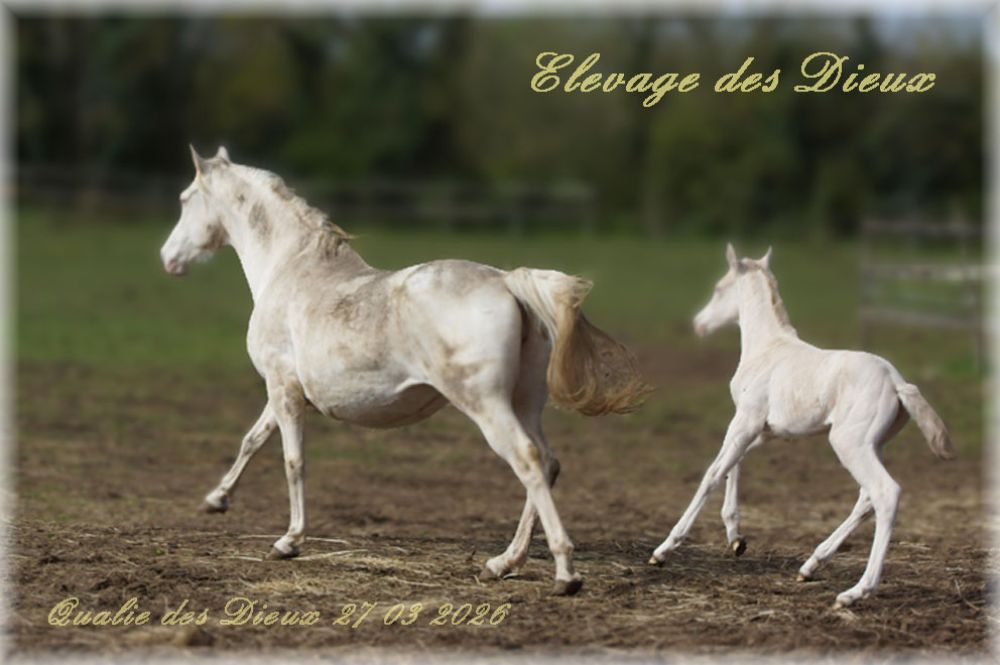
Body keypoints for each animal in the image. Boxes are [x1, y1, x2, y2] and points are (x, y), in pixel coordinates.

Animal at [159, 146, 650, 595]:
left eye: (185, 199)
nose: (167, 258)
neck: (292, 270)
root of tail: (507, 281)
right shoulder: (288, 393)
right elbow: (252, 441)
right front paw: (216, 500)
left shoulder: (282, 388)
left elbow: (292, 461)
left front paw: (288, 541)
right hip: (525, 403)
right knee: (548, 463)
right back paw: (502, 563)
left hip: (486, 405)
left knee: (528, 462)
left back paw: (565, 574)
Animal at [648, 244, 954, 608]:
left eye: (719, 289)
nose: (699, 325)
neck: (768, 347)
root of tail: (897, 382)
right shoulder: (765, 430)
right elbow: (734, 466)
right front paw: (736, 538)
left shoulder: (746, 420)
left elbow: (712, 474)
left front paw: (664, 549)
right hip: (873, 445)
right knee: (866, 499)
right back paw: (811, 565)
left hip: (849, 444)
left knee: (885, 493)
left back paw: (855, 592)